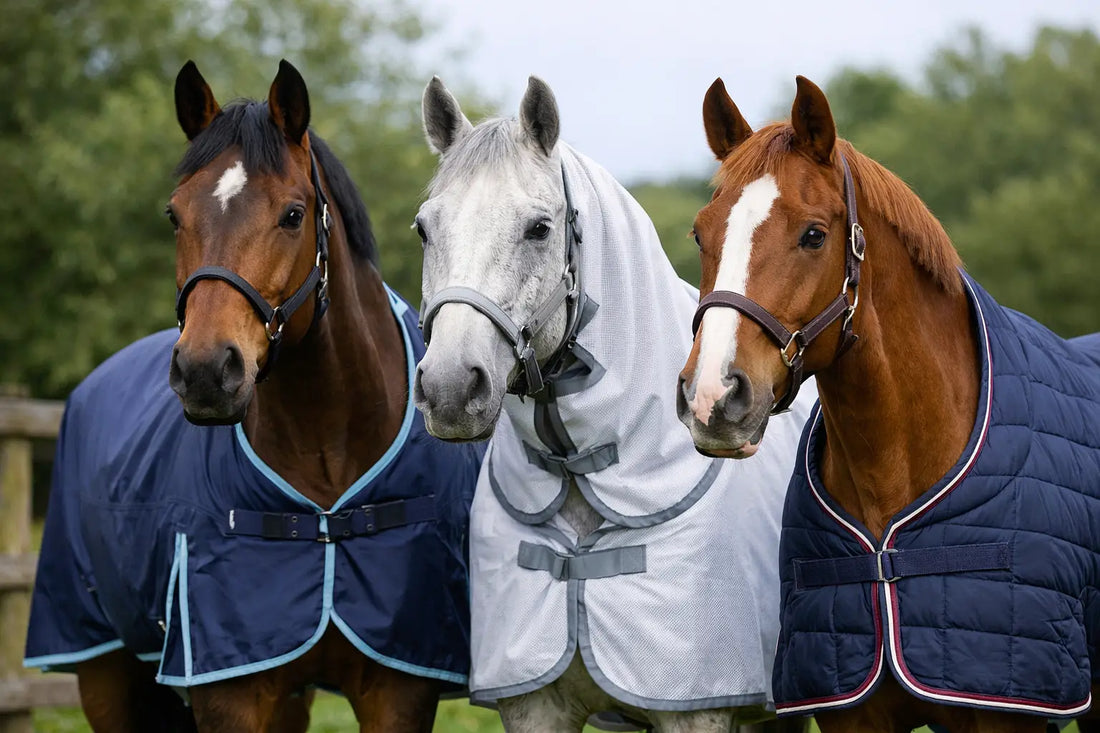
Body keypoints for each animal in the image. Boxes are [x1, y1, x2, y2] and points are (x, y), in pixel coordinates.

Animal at [24, 60, 483, 732]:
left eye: (293, 214)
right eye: (174, 215)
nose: (206, 371)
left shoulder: (399, 689)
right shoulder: (228, 688)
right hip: (102, 672)